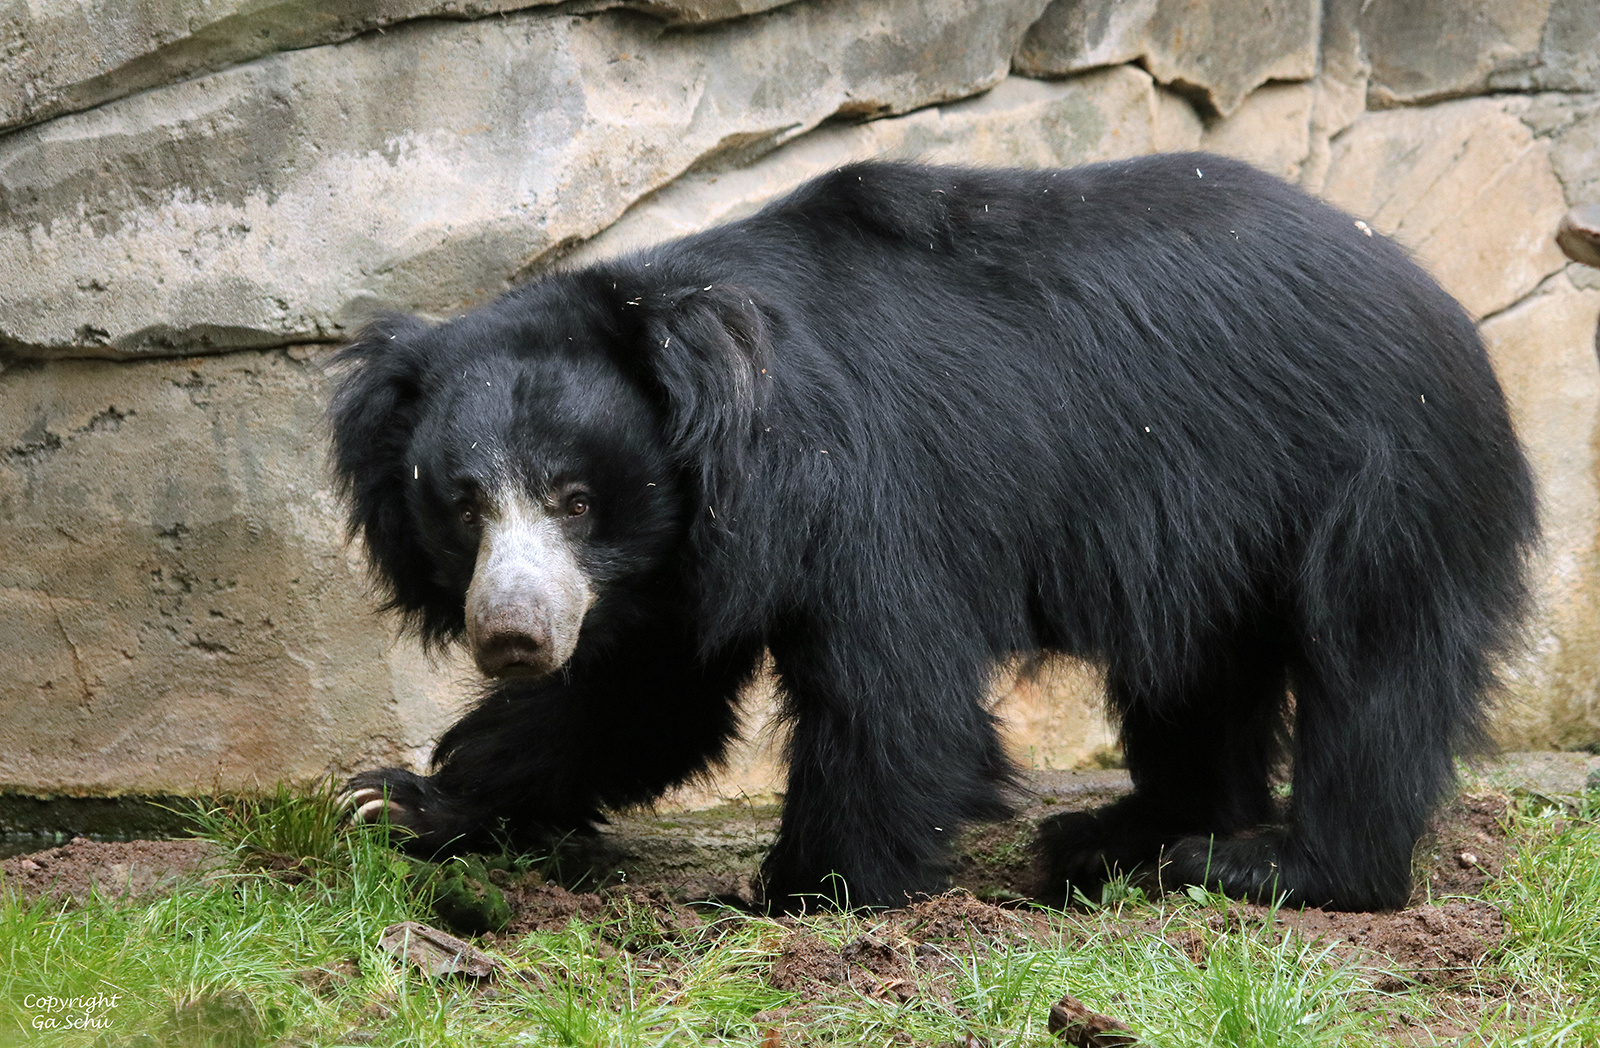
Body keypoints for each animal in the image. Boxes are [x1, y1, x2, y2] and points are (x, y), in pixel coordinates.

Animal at [334, 153, 1536, 908]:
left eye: (576, 498)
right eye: (462, 503)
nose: (513, 636)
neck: (731, 432)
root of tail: (1435, 296)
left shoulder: (860, 491)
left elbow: (892, 690)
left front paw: (797, 893)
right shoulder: (682, 555)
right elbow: (642, 701)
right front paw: (394, 800)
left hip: (1378, 473)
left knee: (1373, 666)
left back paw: (1278, 869)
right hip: (1209, 526)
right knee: (1196, 669)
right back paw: (1121, 839)